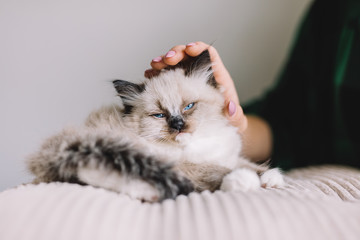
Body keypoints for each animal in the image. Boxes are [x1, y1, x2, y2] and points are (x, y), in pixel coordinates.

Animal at [26, 50, 282, 202]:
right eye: (159, 115)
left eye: (189, 106)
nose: (178, 125)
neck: (196, 147)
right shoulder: (185, 167)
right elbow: (218, 171)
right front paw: (246, 181)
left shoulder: (227, 156)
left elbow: (250, 165)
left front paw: (271, 178)